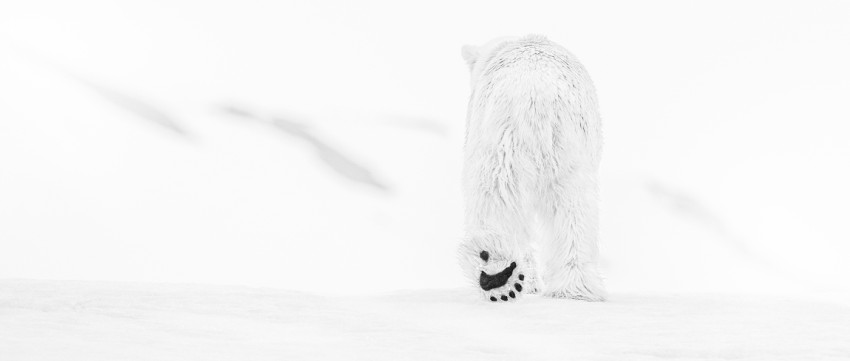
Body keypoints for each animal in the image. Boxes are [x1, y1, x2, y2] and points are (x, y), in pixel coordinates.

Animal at [458, 35, 604, 300]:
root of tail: (536, 96)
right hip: (570, 146)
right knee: (575, 207)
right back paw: (573, 288)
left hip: (502, 137)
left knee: (495, 198)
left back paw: (497, 272)